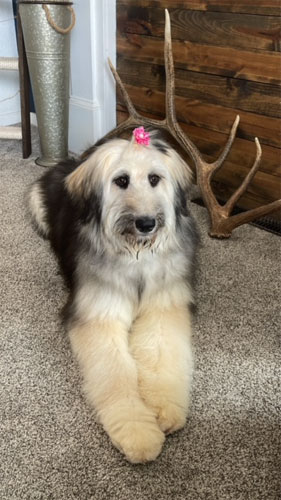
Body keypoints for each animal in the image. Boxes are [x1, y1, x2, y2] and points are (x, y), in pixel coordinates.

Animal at [27, 129, 196, 464]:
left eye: (154, 178)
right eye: (121, 180)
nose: (146, 223)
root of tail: (67, 161)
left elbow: (160, 356)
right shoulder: (98, 316)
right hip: (35, 203)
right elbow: (116, 373)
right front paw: (137, 431)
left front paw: (163, 408)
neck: (135, 257)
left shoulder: (163, 308)